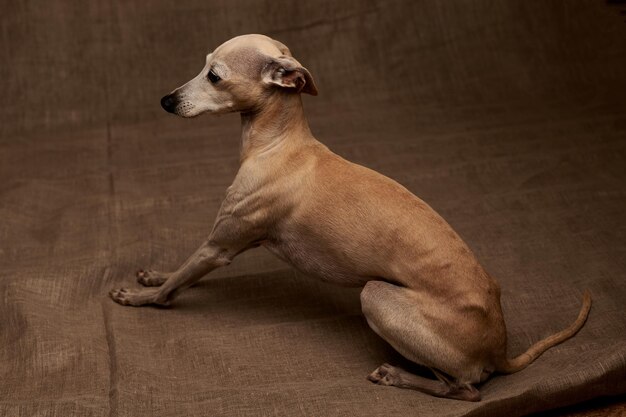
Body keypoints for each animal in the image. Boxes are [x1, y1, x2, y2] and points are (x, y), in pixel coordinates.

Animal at [108, 33, 588, 400]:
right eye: (204, 63)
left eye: (215, 75)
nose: (166, 100)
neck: (279, 146)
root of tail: (499, 347)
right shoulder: (218, 244)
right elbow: (179, 271)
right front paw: (151, 276)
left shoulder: (220, 245)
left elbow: (175, 284)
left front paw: (139, 297)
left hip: (377, 297)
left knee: (465, 389)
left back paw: (398, 376)